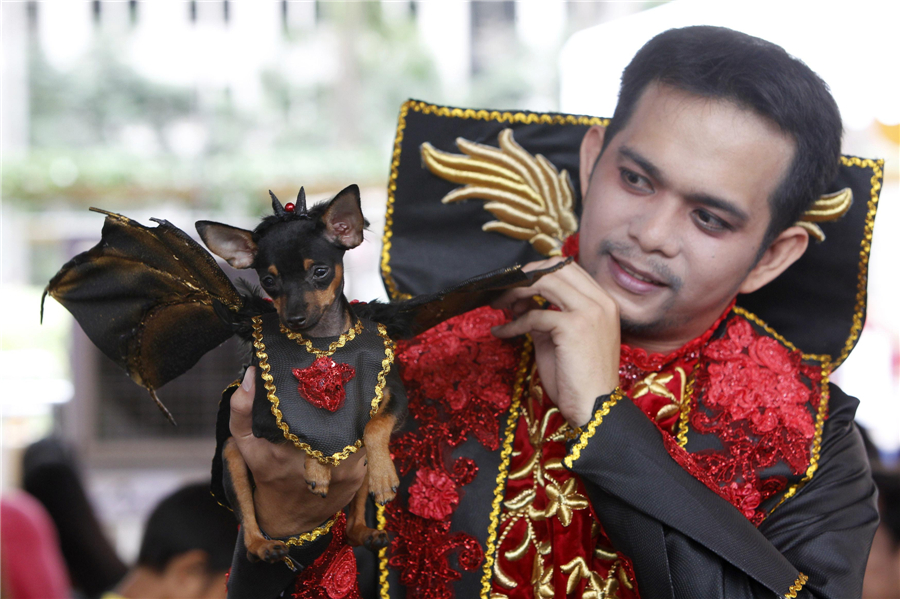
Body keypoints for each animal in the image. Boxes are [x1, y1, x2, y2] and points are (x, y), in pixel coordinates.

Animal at [199, 185, 400, 564]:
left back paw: (366, 531)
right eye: (268, 281)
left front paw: (384, 476)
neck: (321, 340)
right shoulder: (265, 417)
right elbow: (299, 433)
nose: (294, 317)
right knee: (247, 518)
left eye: (319, 272)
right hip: (231, 454)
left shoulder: (395, 401)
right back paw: (263, 546)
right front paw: (318, 468)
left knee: (352, 523)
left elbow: (374, 425)